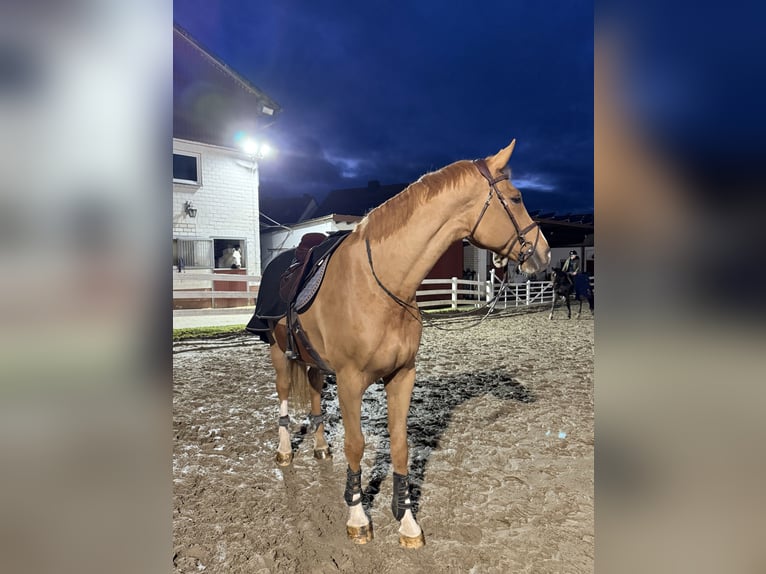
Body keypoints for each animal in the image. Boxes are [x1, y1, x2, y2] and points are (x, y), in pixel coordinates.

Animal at [255, 140, 550, 548]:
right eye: (517, 197)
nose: (545, 253)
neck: (380, 283)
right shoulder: (350, 381)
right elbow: (356, 444)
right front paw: (358, 517)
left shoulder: (401, 376)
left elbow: (399, 445)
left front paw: (407, 521)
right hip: (279, 354)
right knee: (284, 396)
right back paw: (286, 451)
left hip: (313, 360)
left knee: (314, 393)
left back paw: (319, 447)